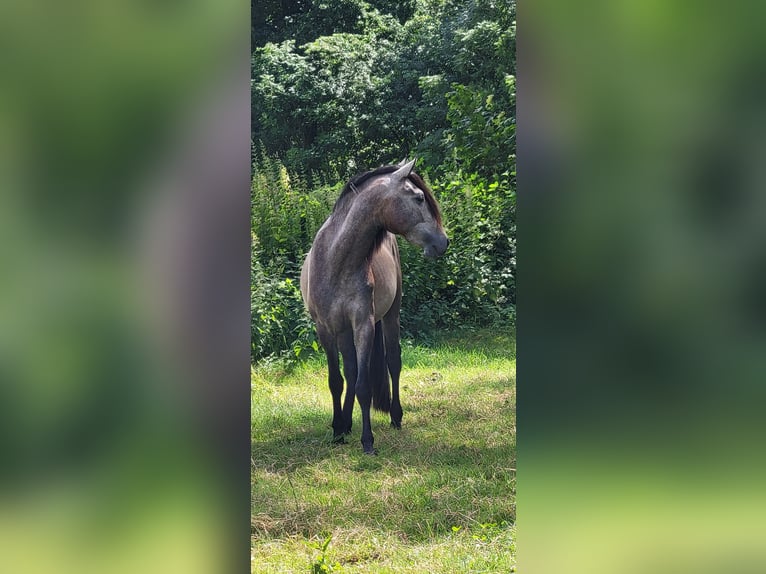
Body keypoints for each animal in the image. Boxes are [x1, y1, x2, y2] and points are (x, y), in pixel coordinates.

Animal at [300, 160, 450, 456]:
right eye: (419, 198)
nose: (444, 242)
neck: (336, 261)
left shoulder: (363, 324)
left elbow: (364, 385)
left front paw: (367, 440)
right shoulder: (326, 329)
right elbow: (337, 381)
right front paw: (338, 429)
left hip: (390, 316)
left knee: (393, 362)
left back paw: (396, 416)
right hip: (344, 332)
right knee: (350, 371)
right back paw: (346, 424)